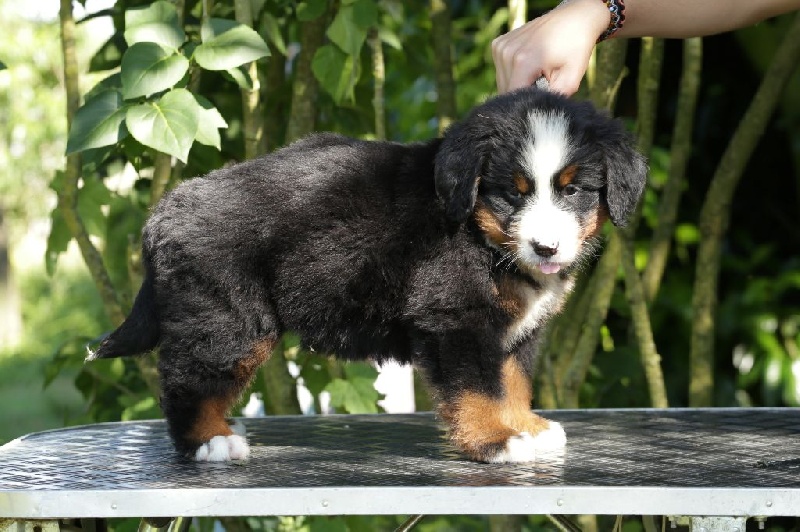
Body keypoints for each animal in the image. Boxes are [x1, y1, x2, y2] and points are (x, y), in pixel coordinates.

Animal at [89, 87, 646, 463]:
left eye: (573, 191)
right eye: (513, 192)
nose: (546, 247)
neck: (479, 234)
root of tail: (167, 211)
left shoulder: (515, 330)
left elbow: (510, 381)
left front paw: (525, 427)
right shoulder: (456, 318)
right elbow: (479, 388)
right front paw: (496, 439)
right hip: (227, 321)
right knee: (187, 381)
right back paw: (210, 442)